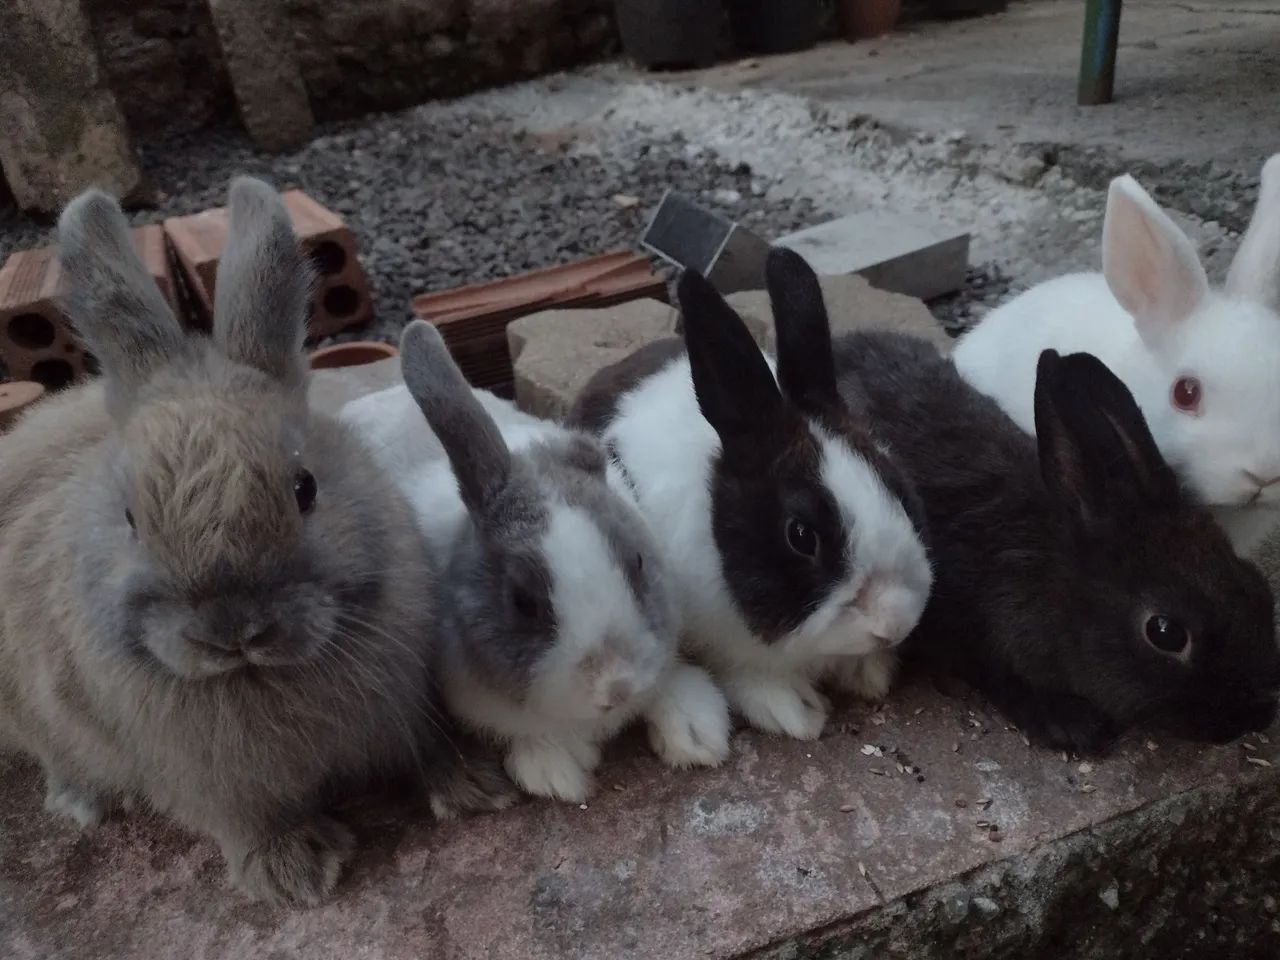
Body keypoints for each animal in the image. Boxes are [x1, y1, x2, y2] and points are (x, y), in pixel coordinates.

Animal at [0, 178, 510, 908]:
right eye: (130, 518)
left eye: (305, 487)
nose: (232, 629)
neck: (260, 675)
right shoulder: (206, 784)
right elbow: (244, 820)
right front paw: (296, 876)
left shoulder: (406, 698)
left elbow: (428, 742)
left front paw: (474, 787)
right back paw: (79, 802)